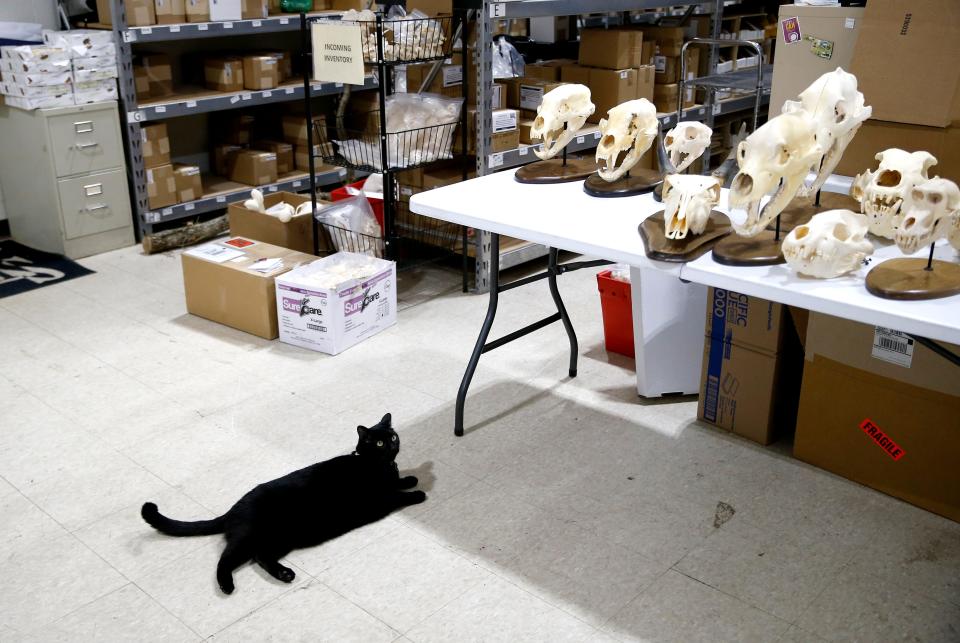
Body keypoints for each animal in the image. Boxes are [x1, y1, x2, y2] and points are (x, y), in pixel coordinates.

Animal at [141, 416, 426, 596]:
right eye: (379, 442)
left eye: (393, 436)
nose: (392, 444)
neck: (378, 466)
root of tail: (232, 510)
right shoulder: (380, 500)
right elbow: (398, 496)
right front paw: (418, 493)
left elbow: (399, 482)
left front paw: (410, 479)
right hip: (252, 536)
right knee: (226, 559)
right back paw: (227, 586)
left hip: (282, 538)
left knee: (261, 556)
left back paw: (284, 574)